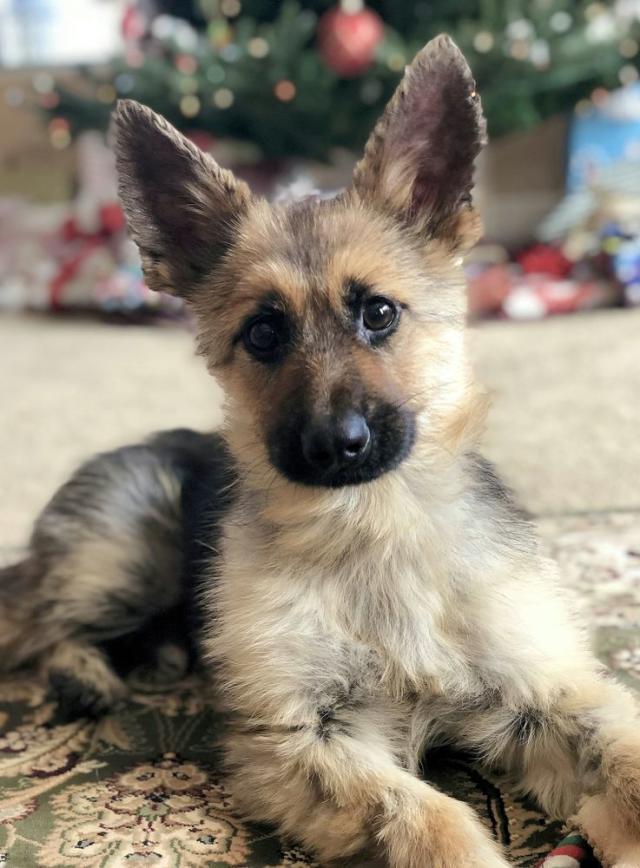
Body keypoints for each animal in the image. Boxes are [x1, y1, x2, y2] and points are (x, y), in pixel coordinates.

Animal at [1, 34, 640, 868]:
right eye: (263, 333)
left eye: (379, 314)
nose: (338, 446)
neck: (373, 527)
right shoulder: (300, 737)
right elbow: (429, 816)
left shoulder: (542, 697)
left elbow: (623, 751)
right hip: (127, 556)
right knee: (47, 625)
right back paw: (87, 674)